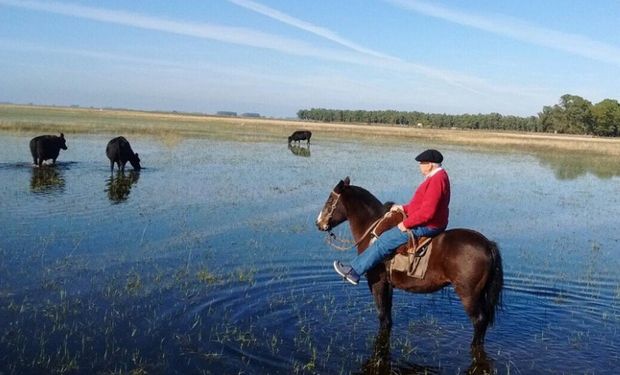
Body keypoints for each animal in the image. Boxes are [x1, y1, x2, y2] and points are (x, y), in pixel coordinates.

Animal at [314, 178, 504, 348]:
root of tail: (488, 244)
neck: (372, 230)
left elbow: (382, 315)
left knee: (479, 320)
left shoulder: (377, 282)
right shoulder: (388, 285)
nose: (318, 223)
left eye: (330, 200)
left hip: (468, 294)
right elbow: (388, 318)